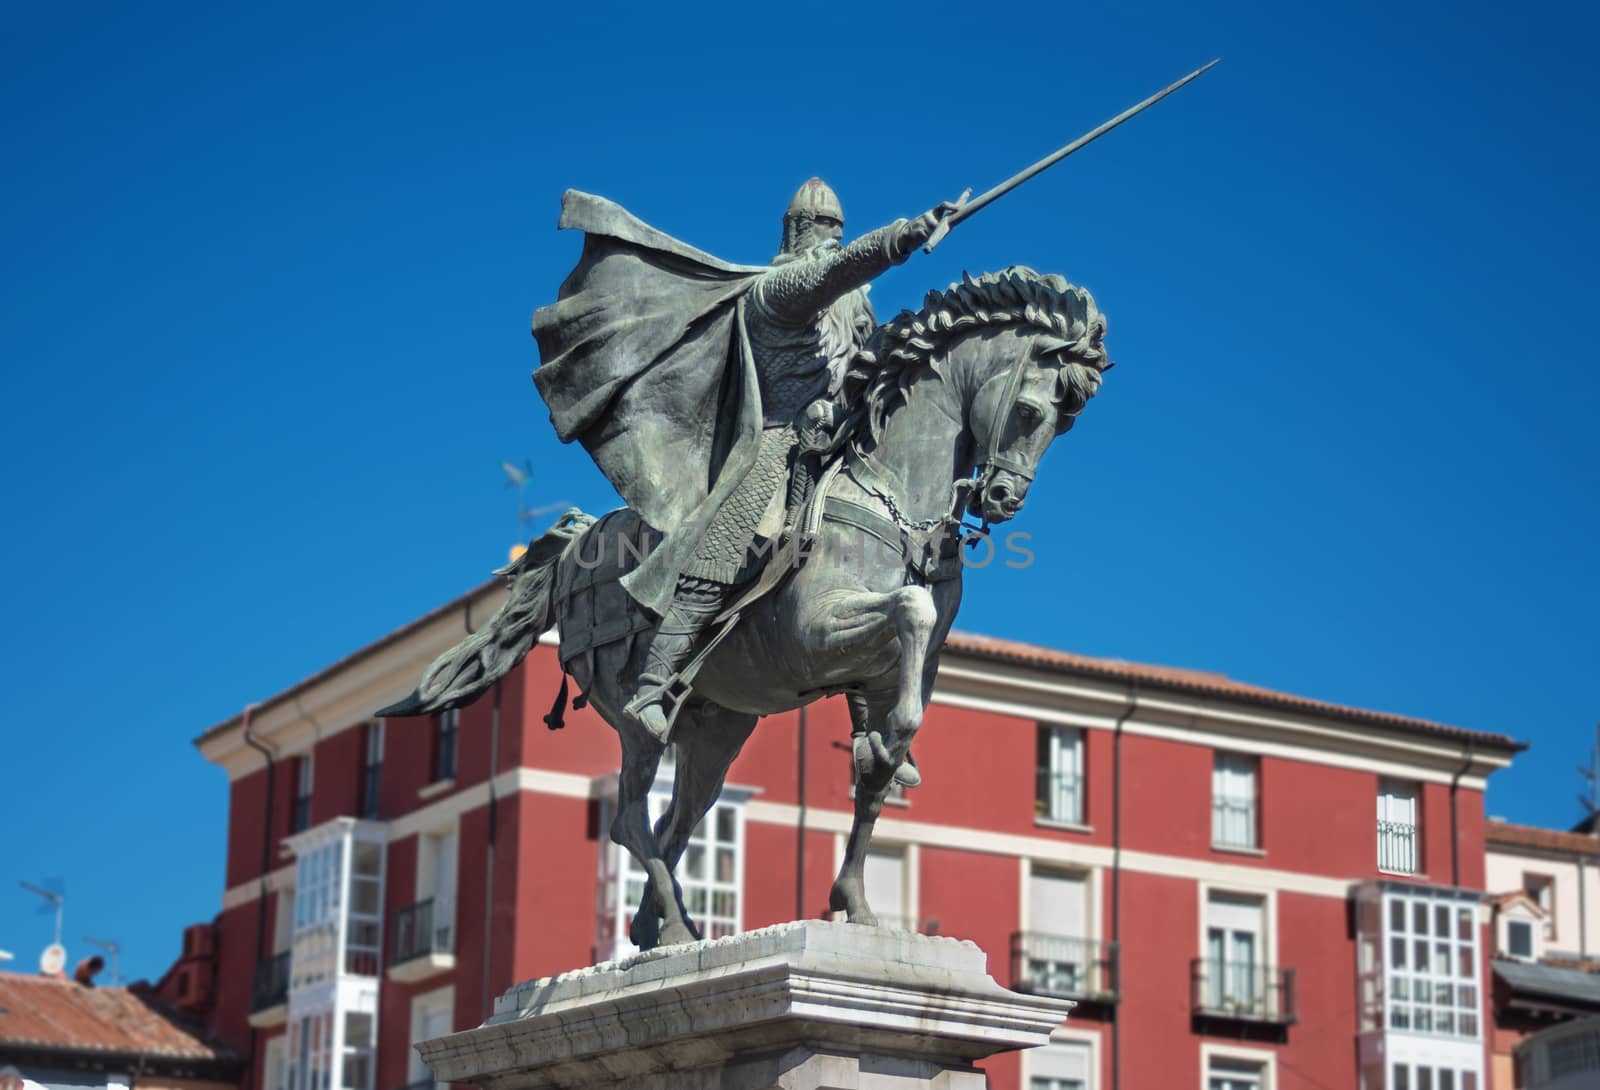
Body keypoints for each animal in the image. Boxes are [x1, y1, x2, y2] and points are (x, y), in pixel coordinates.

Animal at [387, 265, 1113, 953]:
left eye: (1065, 423)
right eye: (1029, 411)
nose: (1002, 500)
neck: (893, 498)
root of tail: (575, 545)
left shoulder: (894, 672)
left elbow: (878, 773)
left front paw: (856, 895)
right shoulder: (815, 636)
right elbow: (910, 611)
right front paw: (887, 750)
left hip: (717, 730)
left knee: (675, 822)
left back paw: (659, 927)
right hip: (635, 717)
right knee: (630, 817)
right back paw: (676, 930)